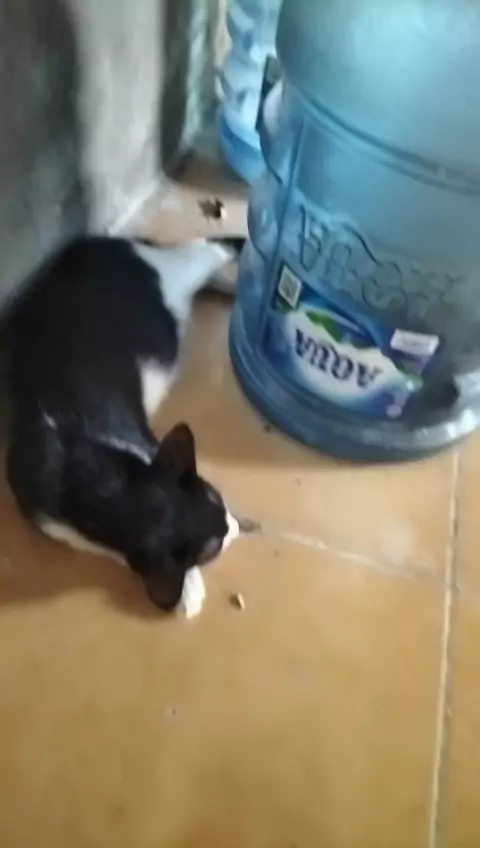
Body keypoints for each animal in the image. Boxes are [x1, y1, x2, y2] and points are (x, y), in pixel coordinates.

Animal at [6, 234, 244, 617]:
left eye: (213, 494)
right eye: (212, 548)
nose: (233, 525)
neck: (103, 486)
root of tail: (96, 242)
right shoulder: (39, 505)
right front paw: (185, 586)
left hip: (171, 268)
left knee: (207, 246)